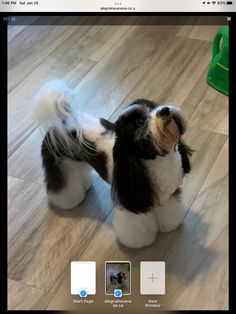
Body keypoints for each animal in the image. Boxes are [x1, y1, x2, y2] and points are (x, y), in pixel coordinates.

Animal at [35, 79, 194, 249]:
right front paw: (140, 242)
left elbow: (169, 212)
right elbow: (136, 228)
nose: (164, 110)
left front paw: (170, 225)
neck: (159, 161)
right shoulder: (131, 204)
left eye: (154, 105)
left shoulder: (167, 196)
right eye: (139, 122)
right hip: (59, 163)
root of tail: (64, 119)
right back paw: (68, 201)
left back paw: (85, 185)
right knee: (62, 185)